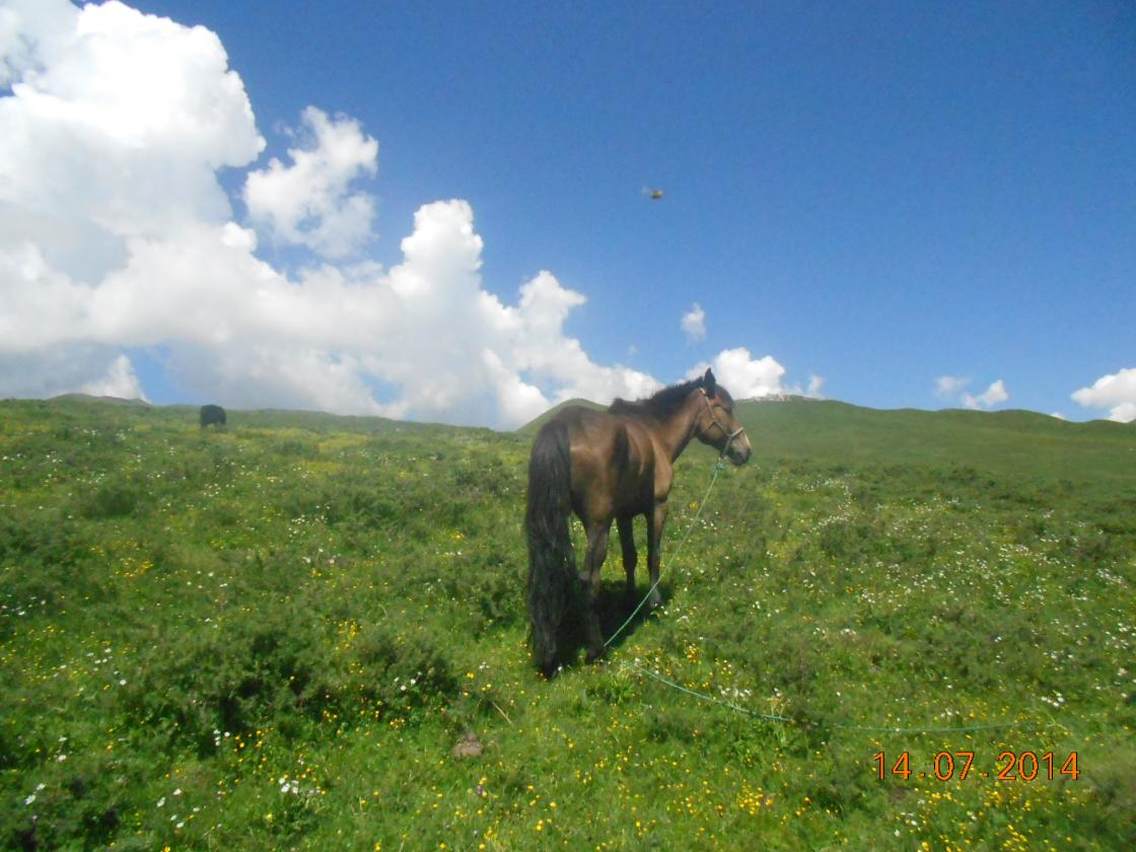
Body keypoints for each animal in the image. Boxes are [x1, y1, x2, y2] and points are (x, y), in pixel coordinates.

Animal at [524, 370, 754, 677]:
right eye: (726, 409)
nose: (745, 450)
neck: (655, 434)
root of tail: (561, 425)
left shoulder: (624, 515)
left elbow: (630, 558)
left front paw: (630, 599)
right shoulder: (656, 508)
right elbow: (653, 556)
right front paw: (653, 601)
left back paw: (549, 652)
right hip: (598, 524)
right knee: (588, 579)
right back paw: (596, 649)